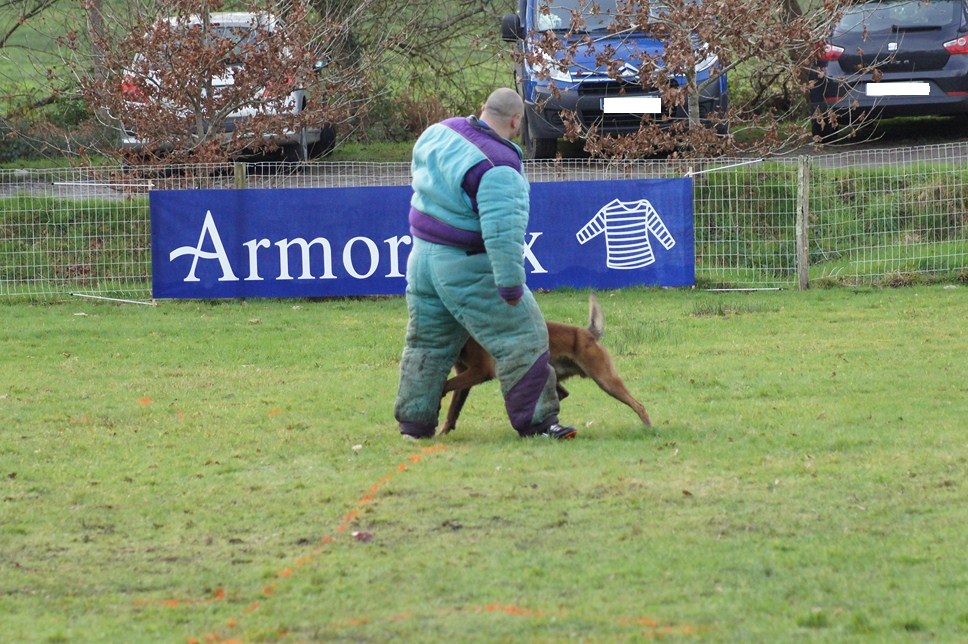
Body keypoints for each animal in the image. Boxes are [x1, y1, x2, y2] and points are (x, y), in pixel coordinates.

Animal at [438, 294, 652, 436]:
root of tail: (587, 333)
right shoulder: (465, 375)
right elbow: (453, 409)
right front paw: (444, 432)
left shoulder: (480, 371)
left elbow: (447, 385)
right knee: (562, 393)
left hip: (605, 380)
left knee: (639, 405)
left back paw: (648, 427)